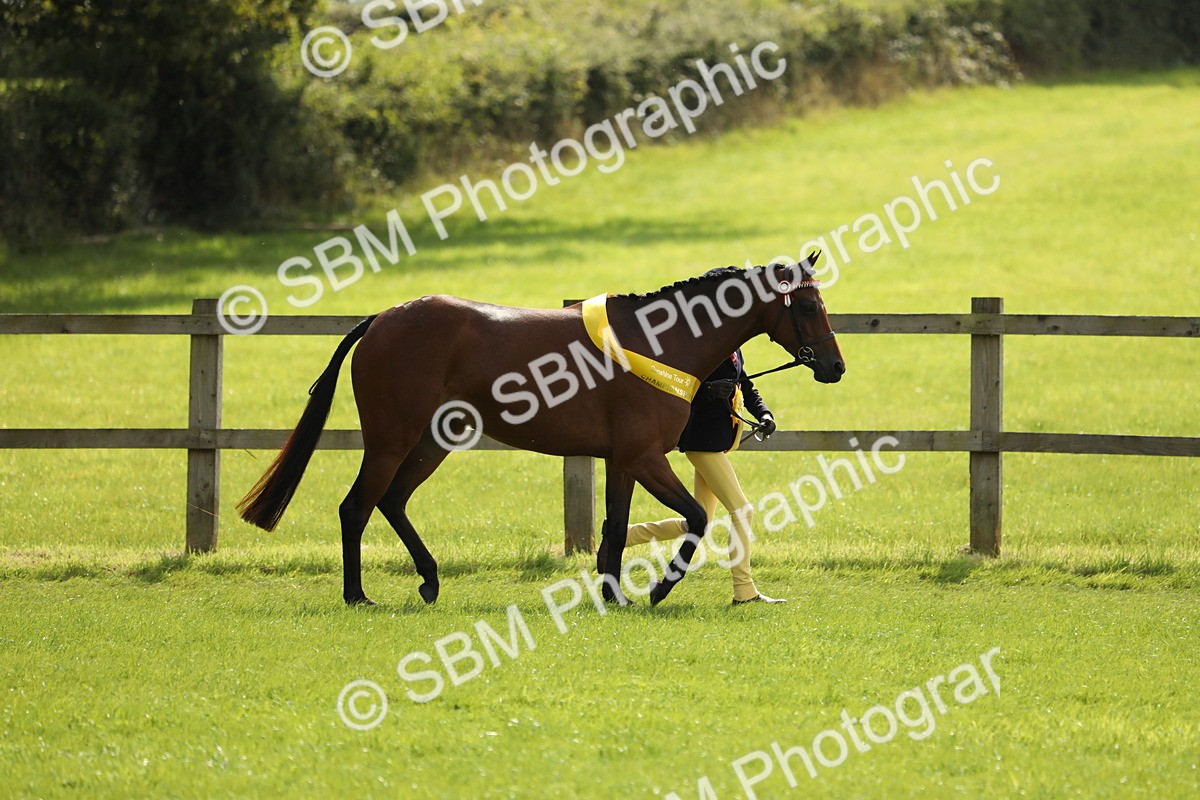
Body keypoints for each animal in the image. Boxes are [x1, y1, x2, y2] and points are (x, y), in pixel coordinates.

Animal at [237, 255, 844, 606]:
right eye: (806, 306)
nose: (835, 368)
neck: (660, 341)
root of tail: (383, 318)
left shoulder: (622, 460)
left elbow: (616, 528)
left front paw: (614, 594)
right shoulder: (645, 456)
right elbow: (694, 517)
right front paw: (656, 589)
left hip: (434, 441)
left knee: (391, 501)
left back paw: (429, 579)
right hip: (392, 439)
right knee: (357, 507)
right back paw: (358, 595)